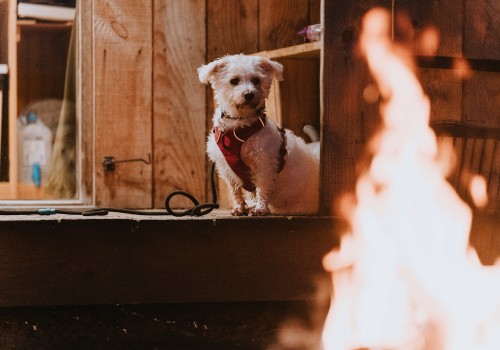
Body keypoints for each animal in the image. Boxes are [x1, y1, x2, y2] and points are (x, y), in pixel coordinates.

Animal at [197, 54, 318, 216]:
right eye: (234, 81)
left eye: (256, 80)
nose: (249, 94)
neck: (239, 124)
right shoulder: (226, 168)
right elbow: (235, 190)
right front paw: (240, 208)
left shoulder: (264, 165)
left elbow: (262, 188)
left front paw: (260, 209)